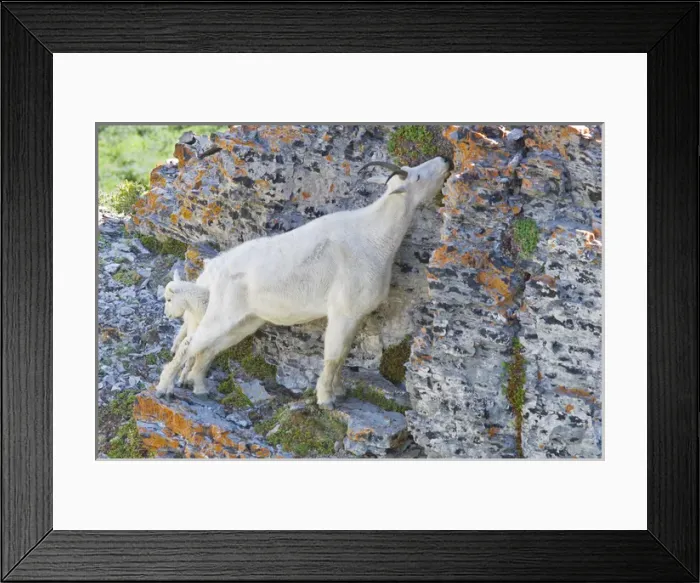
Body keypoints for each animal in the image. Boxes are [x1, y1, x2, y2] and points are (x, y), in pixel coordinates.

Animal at [155, 155, 453, 408]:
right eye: (416, 176)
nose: (446, 161)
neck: (375, 237)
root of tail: (212, 272)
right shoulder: (343, 311)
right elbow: (333, 356)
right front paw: (326, 400)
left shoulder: (355, 316)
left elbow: (343, 355)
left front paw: (339, 391)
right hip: (222, 313)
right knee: (189, 344)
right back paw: (164, 388)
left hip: (245, 321)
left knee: (208, 349)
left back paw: (200, 387)